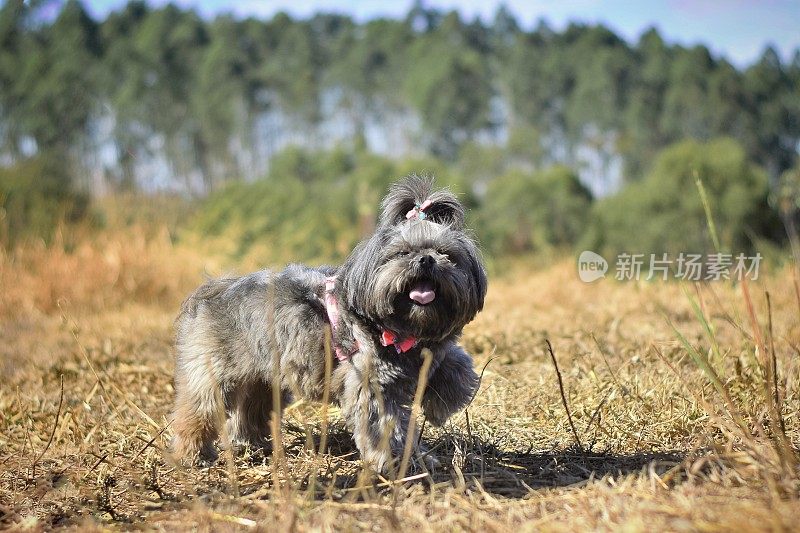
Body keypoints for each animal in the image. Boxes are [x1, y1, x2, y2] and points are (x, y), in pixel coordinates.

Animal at [170, 177, 488, 472]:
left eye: (447, 255)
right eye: (402, 253)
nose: (426, 259)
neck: (402, 327)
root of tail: (217, 289)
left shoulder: (429, 350)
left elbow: (458, 363)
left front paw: (444, 402)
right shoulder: (370, 385)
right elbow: (386, 427)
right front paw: (400, 461)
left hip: (263, 377)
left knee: (250, 412)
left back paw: (253, 444)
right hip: (213, 375)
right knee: (197, 412)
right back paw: (192, 455)